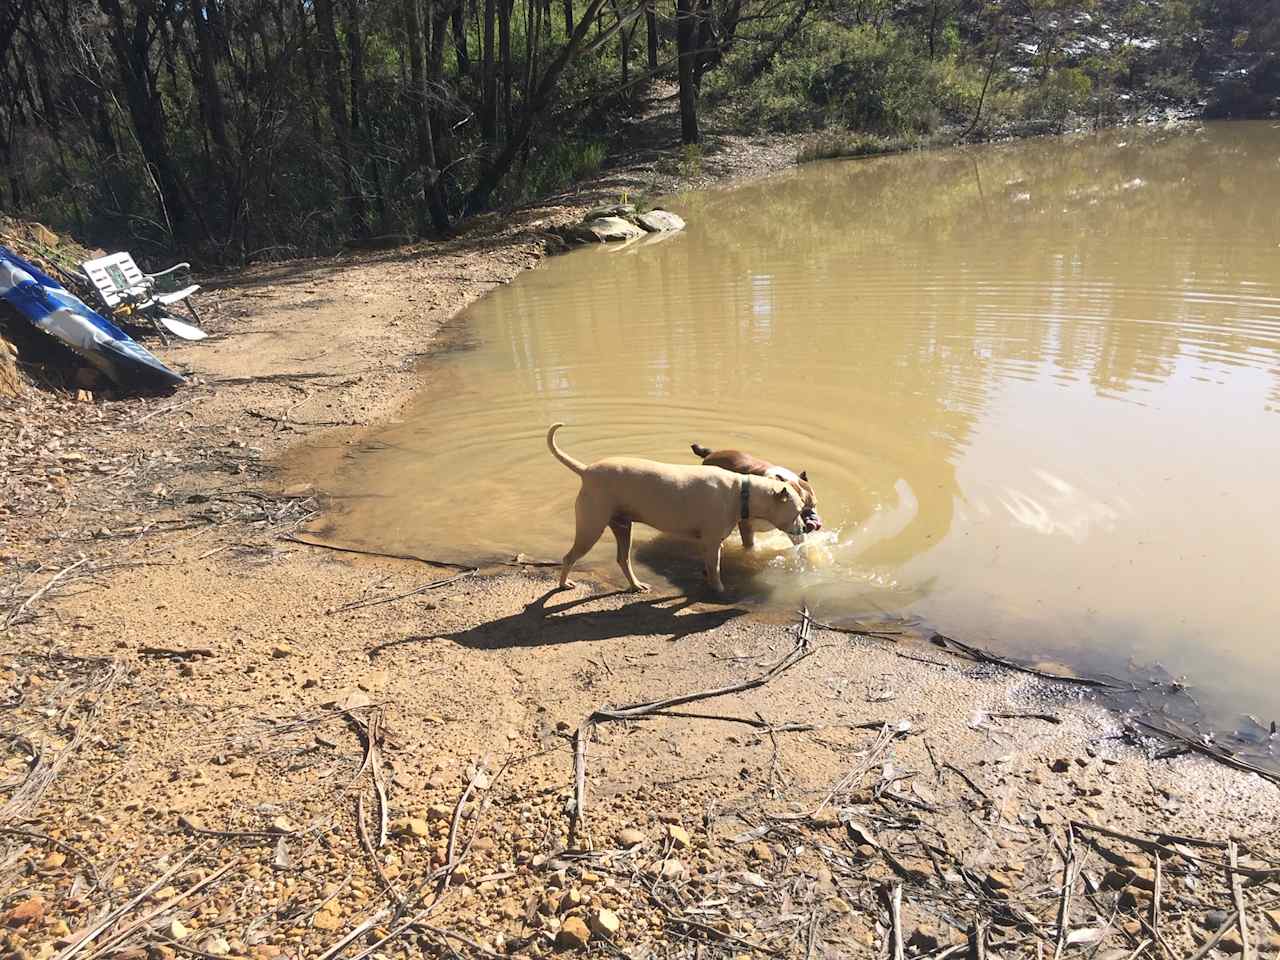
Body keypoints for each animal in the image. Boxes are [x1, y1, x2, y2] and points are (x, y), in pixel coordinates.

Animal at [545, 427, 803, 593]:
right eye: (800, 510)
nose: (806, 528)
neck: (742, 491)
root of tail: (586, 470)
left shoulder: (713, 544)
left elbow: (710, 567)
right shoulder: (711, 543)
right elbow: (716, 570)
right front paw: (719, 590)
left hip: (622, 526)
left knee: (623, 558)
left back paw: (636, 585)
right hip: (591, 528)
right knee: (569, 557)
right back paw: (563, 584)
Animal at [691, 442, 819, 547]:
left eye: (815, 505)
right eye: (801, 507)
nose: (814, 519)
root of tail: (711, 453)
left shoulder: (794, 530)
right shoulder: (746, 528)